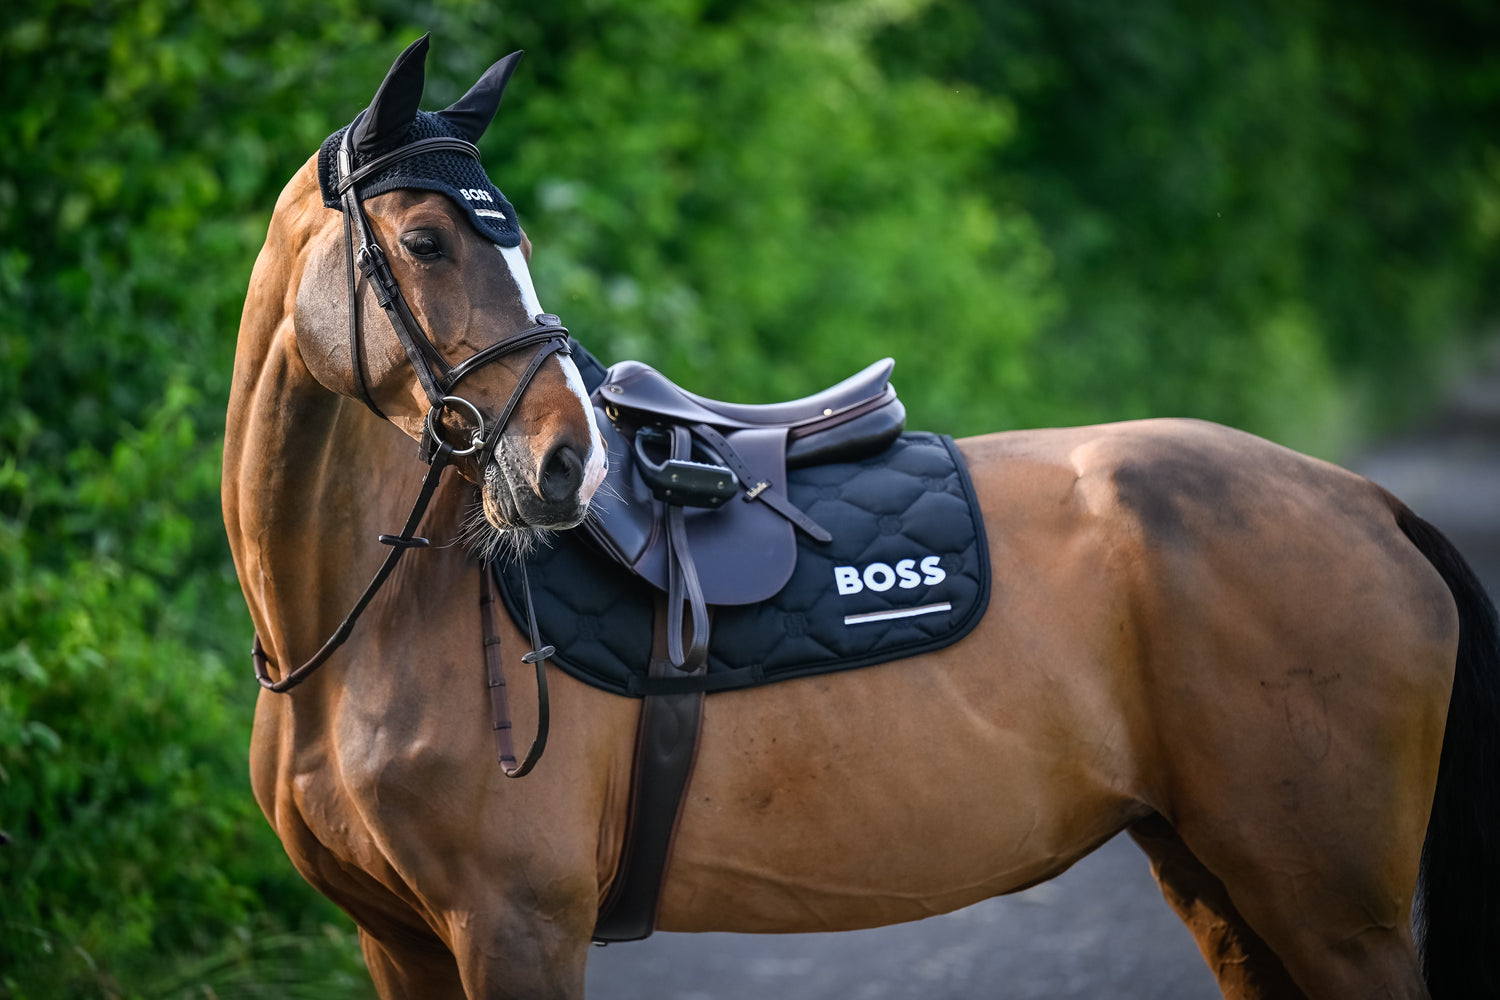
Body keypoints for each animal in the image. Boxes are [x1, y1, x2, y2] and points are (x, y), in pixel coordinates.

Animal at [223, 37, 1500, 999]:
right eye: (426, 241)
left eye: (514, 245)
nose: (565, 464)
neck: (369, 633)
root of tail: (1369, 503)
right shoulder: (399, 942)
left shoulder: (515, 930)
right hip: (1225, 888)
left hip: (1333, 915)